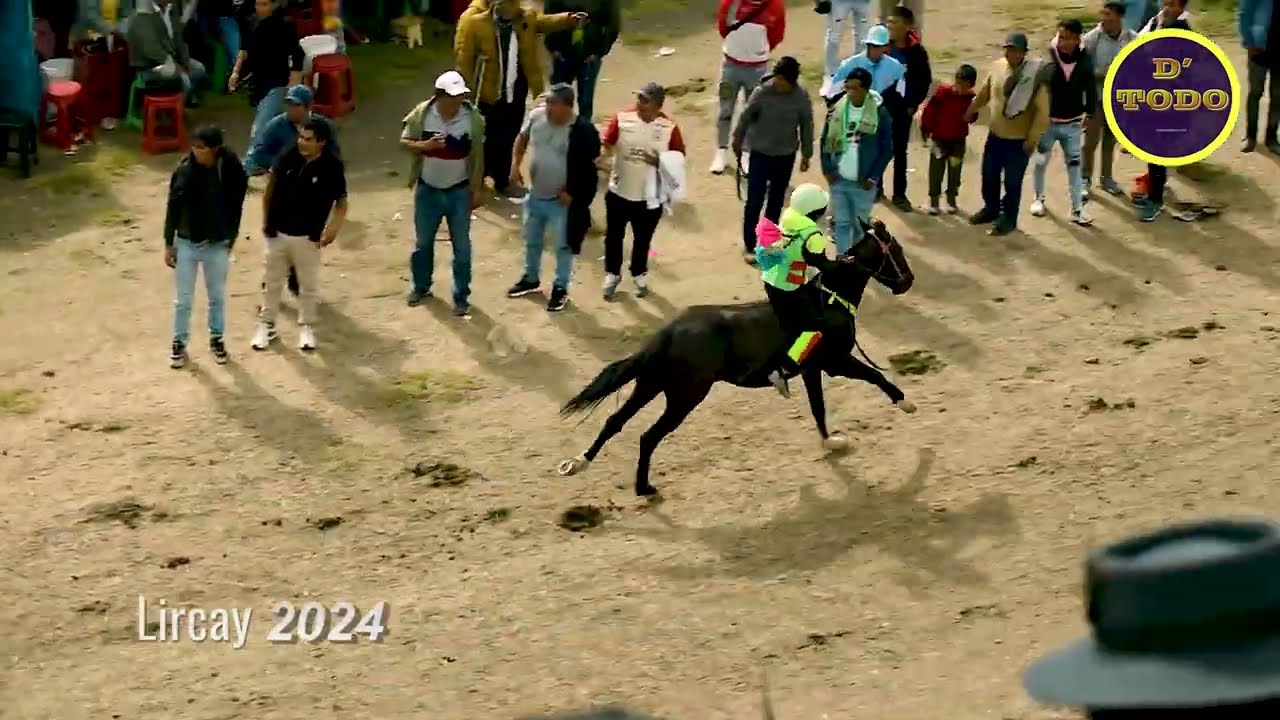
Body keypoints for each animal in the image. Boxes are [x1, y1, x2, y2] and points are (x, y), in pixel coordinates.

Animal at [557, 218, 917, 497]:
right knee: (648, 436)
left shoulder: (811, 369)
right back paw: (643, 488)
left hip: (650, 385)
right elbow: (875, 376)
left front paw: (831, 442)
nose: (908, 281)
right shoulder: (835, 362)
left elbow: (818, 408)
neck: (830, 299)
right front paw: (905, 402)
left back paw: (579, 463)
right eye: (896, 249)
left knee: (614, 422)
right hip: (685, 397)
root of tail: (669, 332)